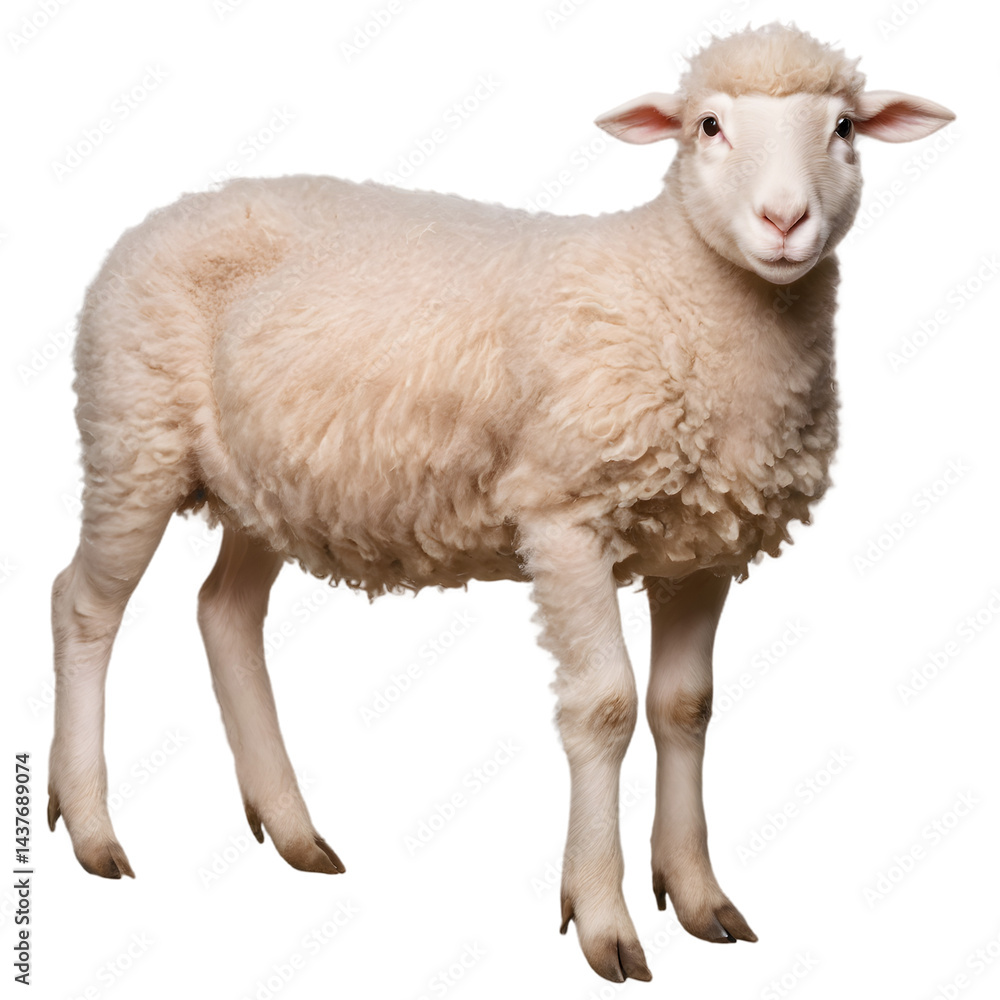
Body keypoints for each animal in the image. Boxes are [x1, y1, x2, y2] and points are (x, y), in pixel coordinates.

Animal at [48, 22, 953, 983]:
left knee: (224, 612)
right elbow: (605, 707)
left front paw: (698, 894)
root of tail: (166, 213)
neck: (675, 293)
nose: (785, 222)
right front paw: (602, 917)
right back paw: (91, 827)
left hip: (265, 479)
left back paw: (291, 829)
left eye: (845, 128)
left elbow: (685, 708)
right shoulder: (565, 516)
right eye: (708, 126)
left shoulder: (699, 542)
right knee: (85, 606)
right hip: (132, 436)